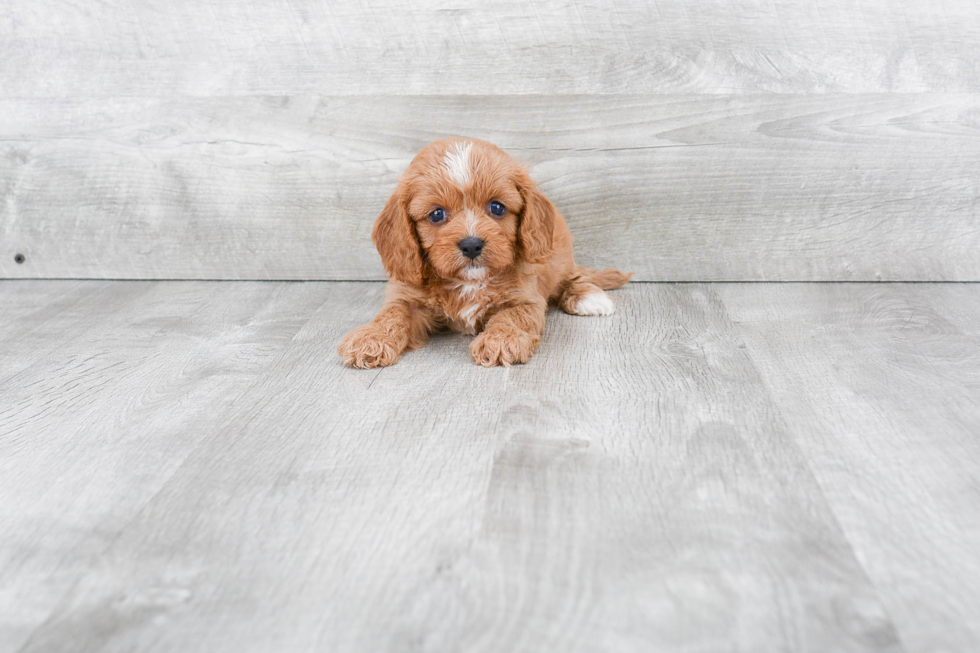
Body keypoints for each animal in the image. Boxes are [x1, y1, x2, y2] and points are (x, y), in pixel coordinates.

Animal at [336, 137, 632, 366]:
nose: (471, 244)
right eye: (436, 214)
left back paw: (588, 297)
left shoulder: (525, 298)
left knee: (572, 276)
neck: (469, 281)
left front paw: (501, 340)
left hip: (558, 257)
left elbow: (512, 316)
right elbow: (392, 314)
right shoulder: (406, 295)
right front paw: (372, 338)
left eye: (497, 207)